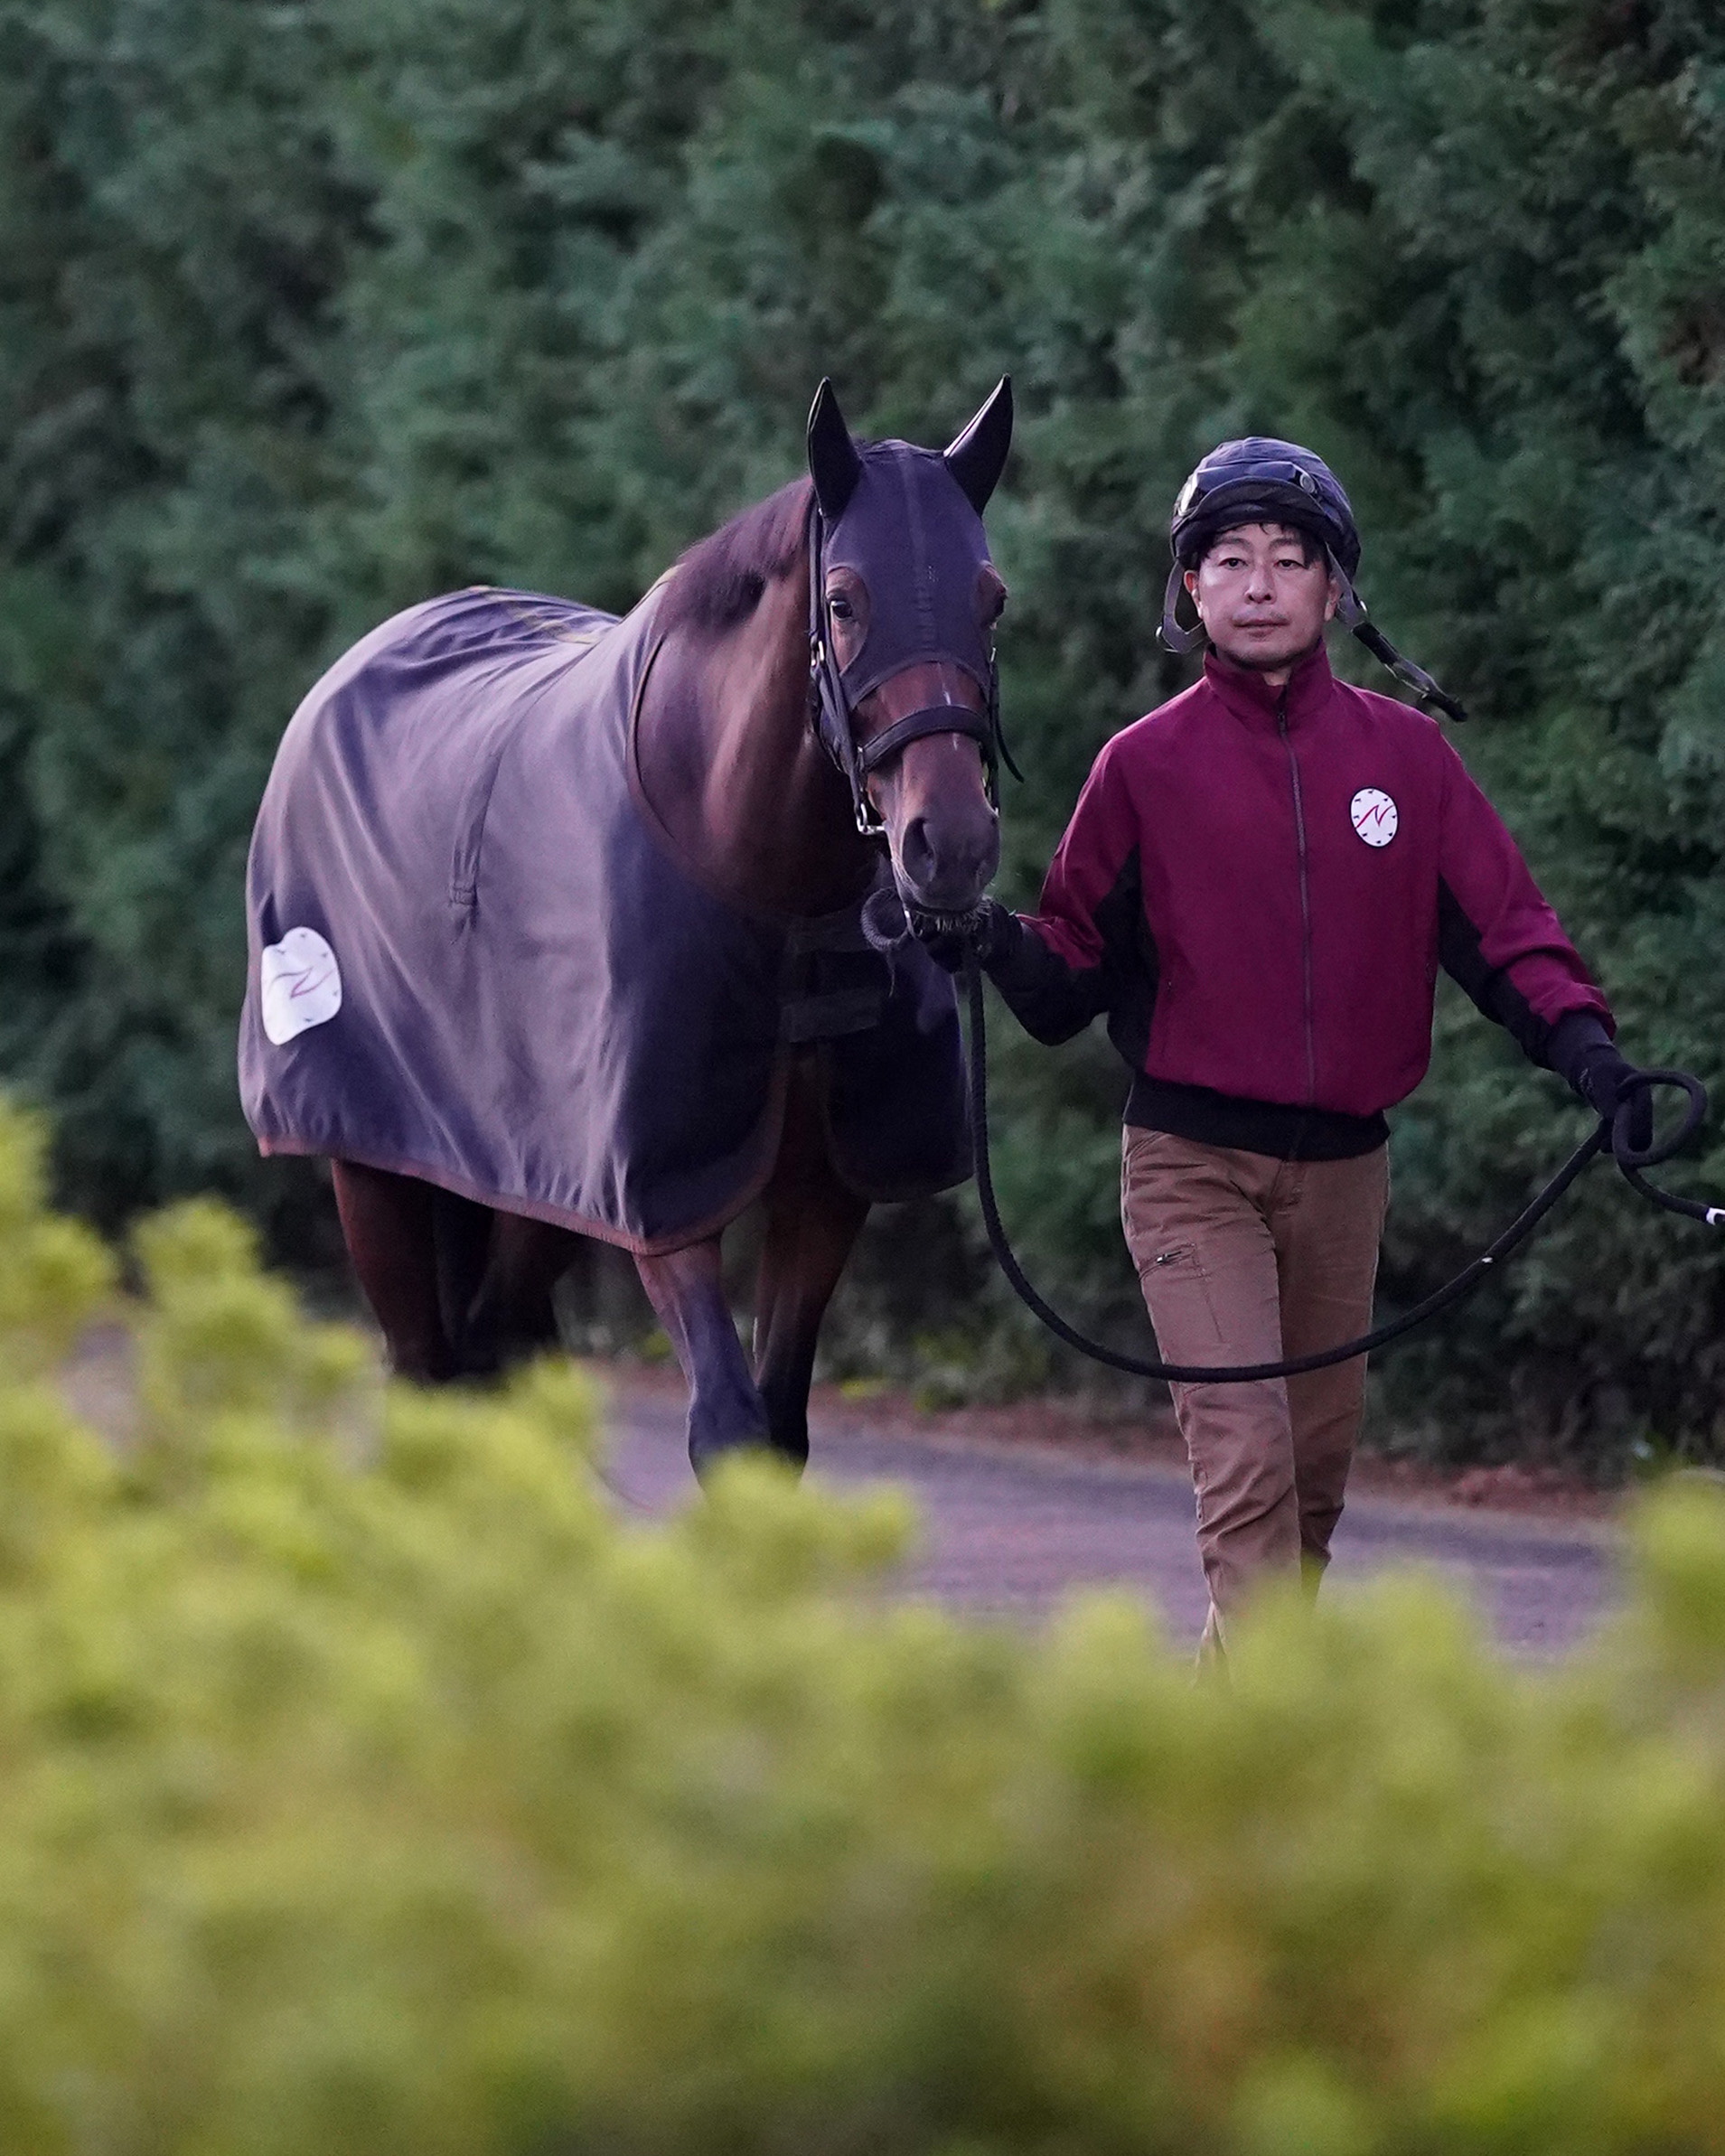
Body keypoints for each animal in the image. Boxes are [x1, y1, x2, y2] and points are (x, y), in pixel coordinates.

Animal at [248, 379, 1017, 1475]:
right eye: (842, 602)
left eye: (989, 598)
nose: (947, 843)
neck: (767, 888)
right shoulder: (663, 1193)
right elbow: (729, 1427)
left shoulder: (824, 1186)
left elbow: (778, 1427)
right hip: (373, 1171)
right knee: (424, 1367)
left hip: (531, 1185)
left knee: (498, 1341)